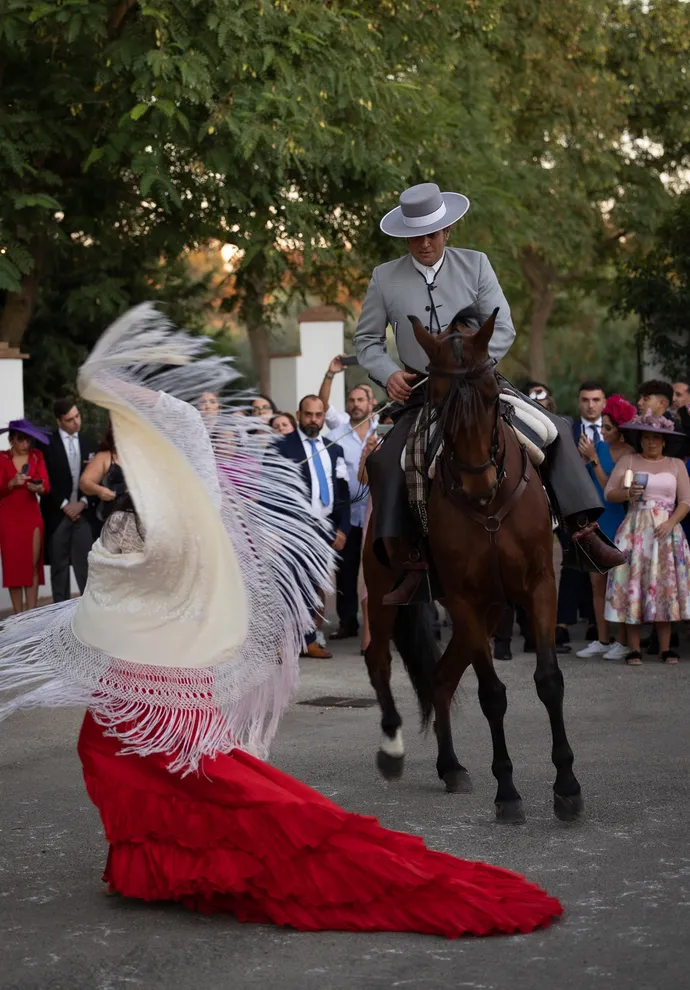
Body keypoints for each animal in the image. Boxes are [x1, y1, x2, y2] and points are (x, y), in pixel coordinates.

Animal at [362, 310, 584, 828]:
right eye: (439, 400)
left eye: (489, 395)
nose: (478, 482)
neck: (490, 505)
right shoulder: (464, 596)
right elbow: (492, 695)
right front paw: (508, 792)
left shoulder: (539, 587)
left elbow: (549, 682)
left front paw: (567, 787)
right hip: (386, 594)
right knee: (379, 660)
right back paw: (392, 749)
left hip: (489, 610)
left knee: (441, 678)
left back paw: (451, 766)